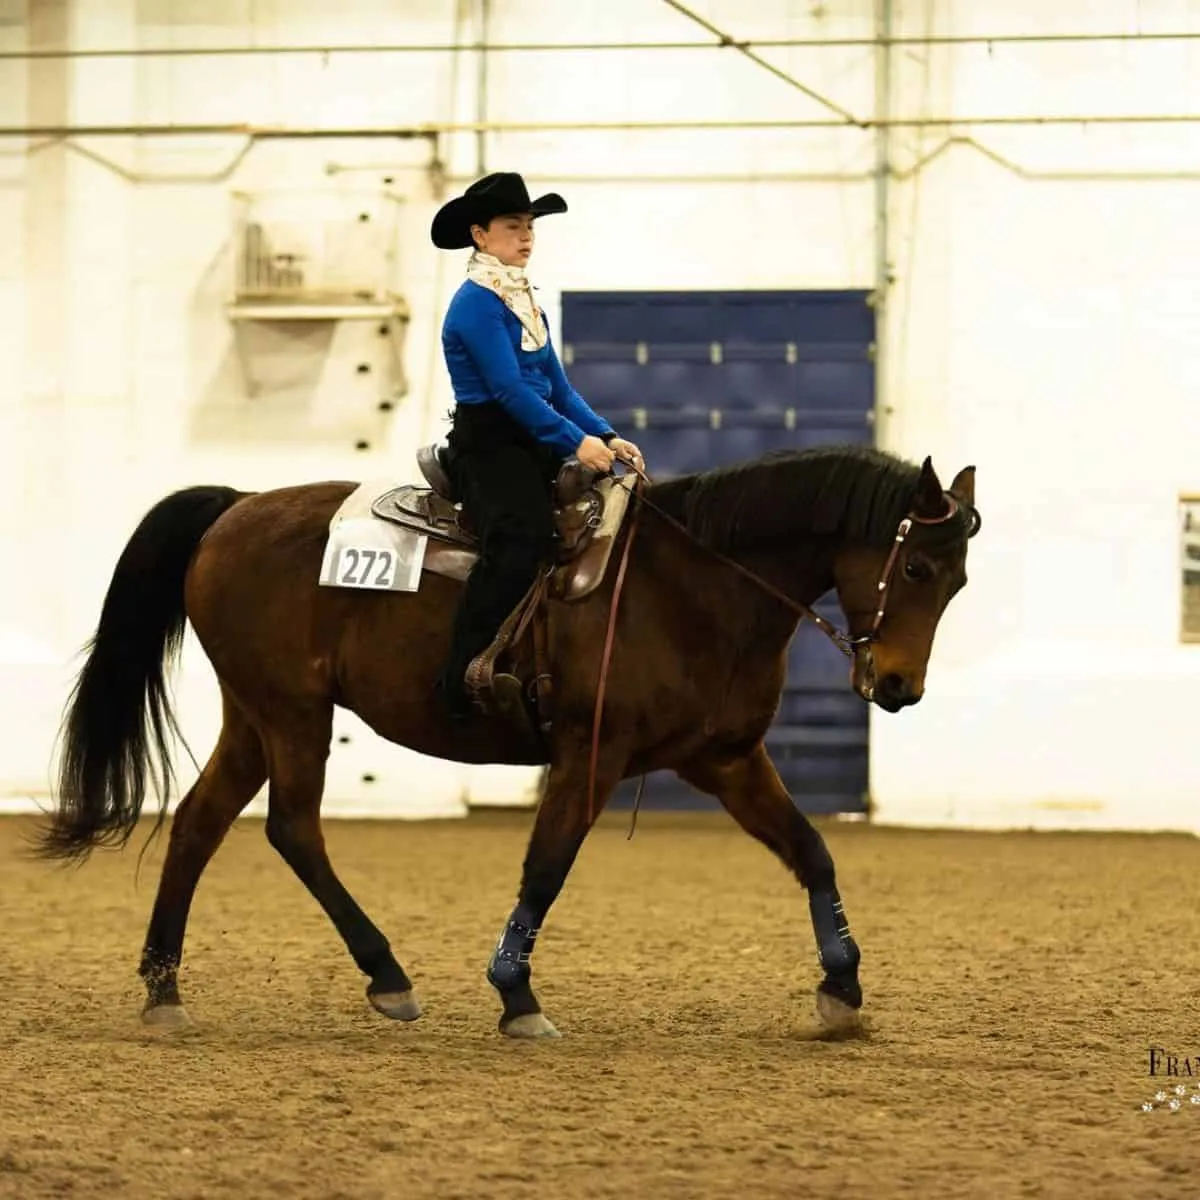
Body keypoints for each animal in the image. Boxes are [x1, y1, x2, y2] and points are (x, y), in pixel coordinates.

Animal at [33, 442, 980, 1039]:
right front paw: (516, 994)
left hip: (254, 716)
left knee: (198, 825)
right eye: (917, 567)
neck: (691, 585)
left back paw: (164, 988)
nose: (900, 687)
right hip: (294, 713)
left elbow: (812, 852)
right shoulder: (591, 757)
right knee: (293, 830)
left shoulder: (727, 759)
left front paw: (842, 985)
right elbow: (547, 866)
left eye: (960, 579)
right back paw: (388, 977)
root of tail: (233, 511)